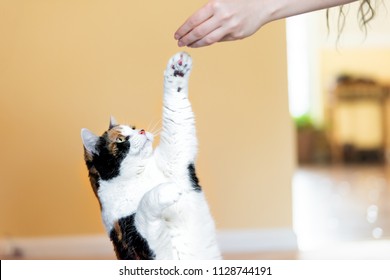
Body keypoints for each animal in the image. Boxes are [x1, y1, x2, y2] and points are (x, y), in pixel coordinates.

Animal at [80, 51, 221, 260]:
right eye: (121, 139)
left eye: (133, 128)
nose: (141, 131)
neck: (139, 176)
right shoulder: (141, 246)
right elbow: (142, 212)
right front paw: (166, 190)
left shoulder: (175, 157)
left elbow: (176, 112)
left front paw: (178, 68)